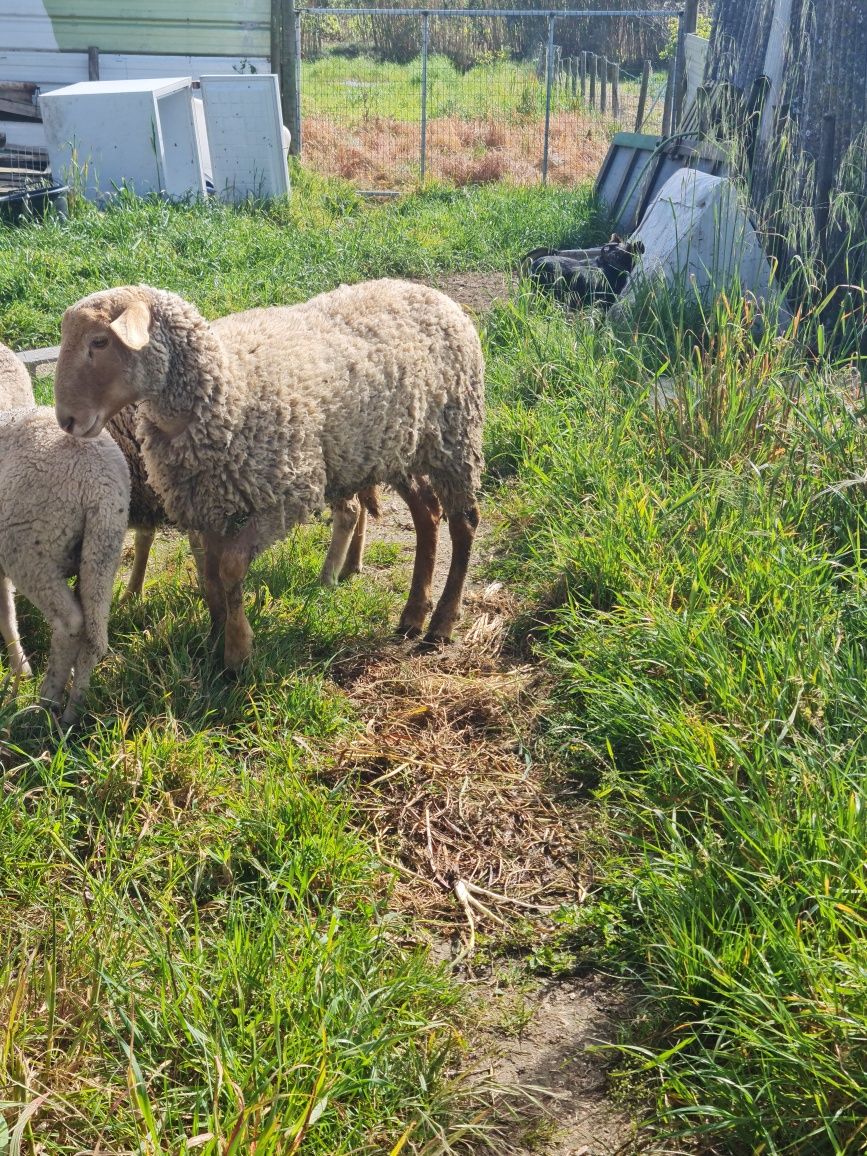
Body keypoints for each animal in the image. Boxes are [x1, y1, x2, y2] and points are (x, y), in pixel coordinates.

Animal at [52, 280, 490, 675]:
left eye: (99, 342)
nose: (66, 420)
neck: (226, 388)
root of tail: (433, 294)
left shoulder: (283, 498)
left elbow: (229, 570)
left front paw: (238, 654)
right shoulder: (208, 507)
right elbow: (210, 578)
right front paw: (215, 641)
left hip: (455, 436)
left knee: (464, 523)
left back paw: (440, 623)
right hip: (397, 448)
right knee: (427, 514)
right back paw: (413, 615)